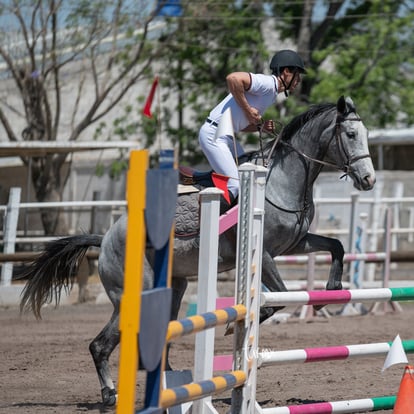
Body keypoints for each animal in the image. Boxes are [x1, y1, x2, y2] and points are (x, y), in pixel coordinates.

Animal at [18, 95, 376, 406]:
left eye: (366, 134)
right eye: (351, 134)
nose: (369, 180)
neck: (283, 180)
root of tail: (106, 237)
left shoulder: (296, 243)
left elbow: (336, 246)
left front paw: (332, 289)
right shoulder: (265, 255)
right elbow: (276, 300)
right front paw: (233, 327)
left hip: (174, 289)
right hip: (131, 296)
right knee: (100, 345)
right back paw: (110, 395)